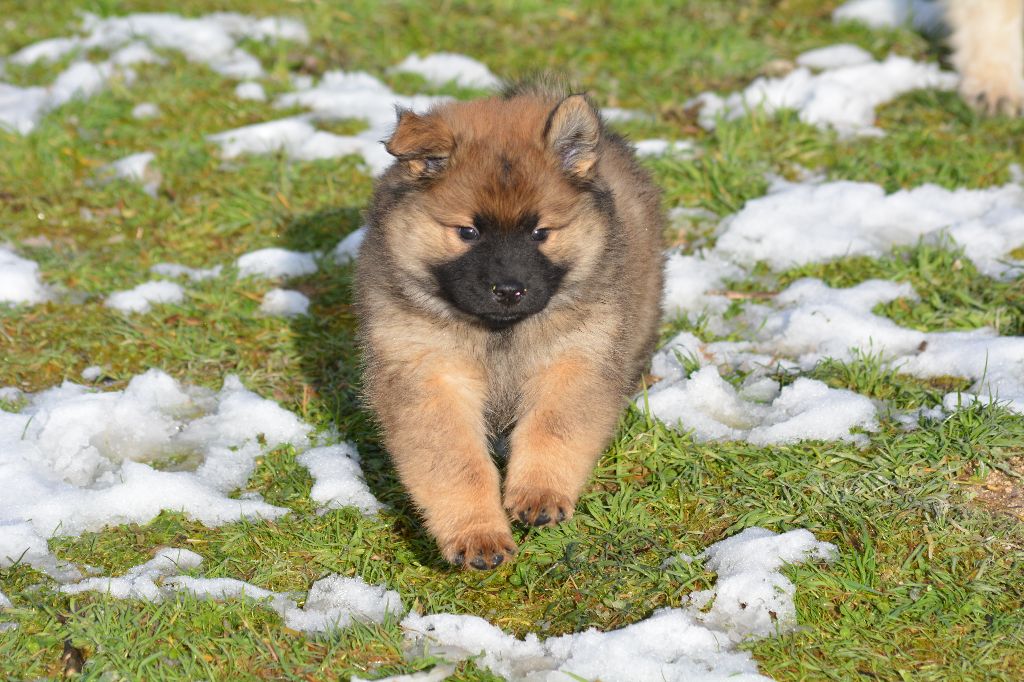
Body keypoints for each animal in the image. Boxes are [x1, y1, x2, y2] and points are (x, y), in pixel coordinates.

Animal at [358, 79, 663, 569]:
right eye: (468, 232)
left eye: (540, 232)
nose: (509, 289)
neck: (499, 333)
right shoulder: (429, 377)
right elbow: (457, 465)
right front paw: (477, 535)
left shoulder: (574, 360)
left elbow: (552, 430)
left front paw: (539, 494)